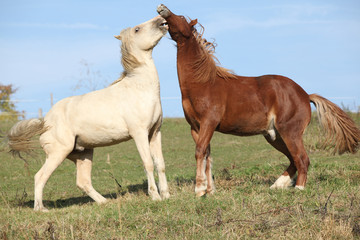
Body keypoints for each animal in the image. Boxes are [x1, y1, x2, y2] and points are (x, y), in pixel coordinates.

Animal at [7, 15, 170, 211]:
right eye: (137, 29)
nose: (161, 19)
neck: (139, 88)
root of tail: (45, 122)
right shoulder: (139, 134)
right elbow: (148, 164)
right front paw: (155, 197)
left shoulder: (155, 133)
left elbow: (160, 164)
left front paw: (167, 195)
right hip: (58, 153)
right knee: (40, 177)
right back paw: (41, 209)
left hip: (83, 154)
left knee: (83, 182)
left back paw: (104, 202)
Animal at [158, 4, 360, 197]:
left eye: (180, 17)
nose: (161, 8)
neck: (203, 82)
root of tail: (305, 94)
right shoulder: (196, 127)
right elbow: (207, 154)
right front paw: (210, 190)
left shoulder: (209, 122)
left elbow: (200, 152)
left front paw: (199, 190)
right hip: (274, 136)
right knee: (293, 159)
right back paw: (277, 185)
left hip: (290, 132)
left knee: (302, 159)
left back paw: (299, 188)